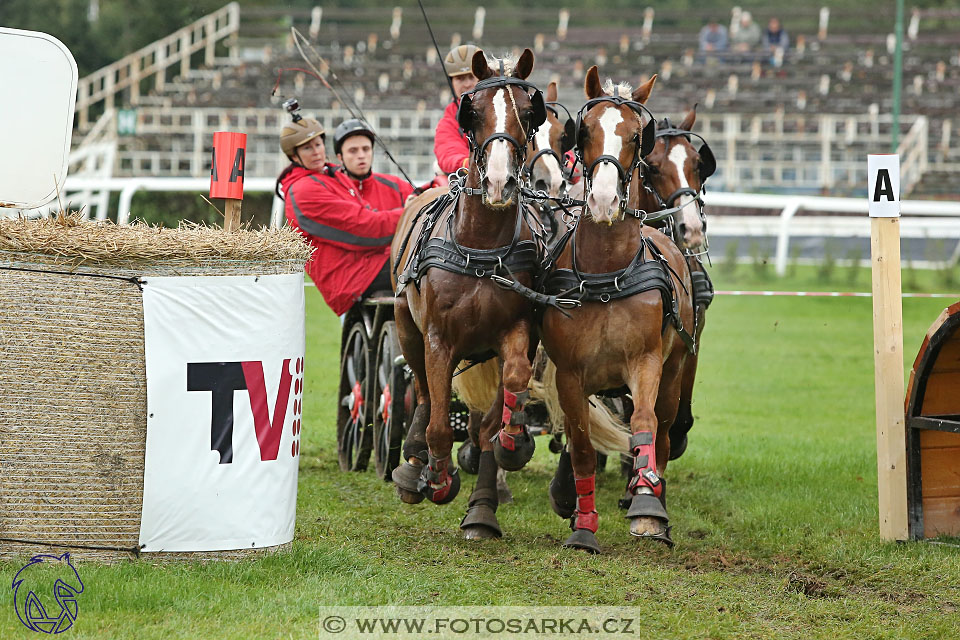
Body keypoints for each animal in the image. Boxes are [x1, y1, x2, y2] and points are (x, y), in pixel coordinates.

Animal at [392, 51, 548, 540]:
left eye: (529, 112)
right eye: (472, 112)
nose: (500, 183)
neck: (481, 247)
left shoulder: (518, 332)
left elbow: (507, 396)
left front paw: (510, 444)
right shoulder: (439, 339)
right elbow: (441, 423)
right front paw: (438, 478)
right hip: (406, 327)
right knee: (423, 394)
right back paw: (415, 464)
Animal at [540, 67, 688, 552]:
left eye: (637, 136)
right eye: (583, 131)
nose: (604, 201)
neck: (606, 274)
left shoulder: (645, 362)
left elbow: (643, 423)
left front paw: (647, 509)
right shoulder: (569, 375)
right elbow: (583, 446)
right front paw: (583, 525)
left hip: (675, 372)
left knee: (663, 432)